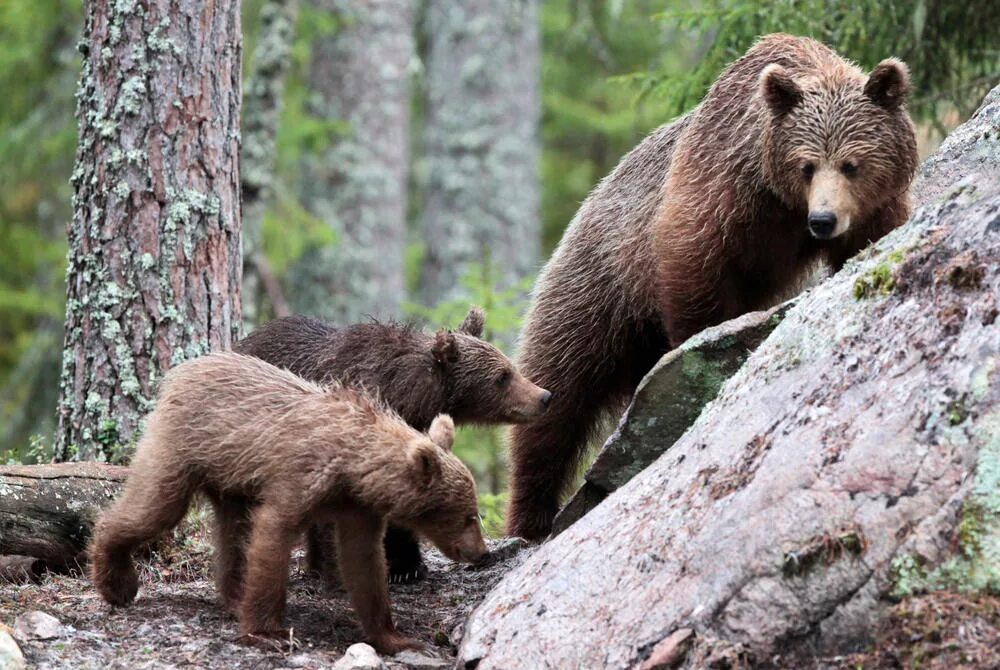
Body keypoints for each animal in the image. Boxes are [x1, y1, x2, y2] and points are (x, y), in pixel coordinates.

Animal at [512, 34, 916, 544]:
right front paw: (700, 350)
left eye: (852, 164)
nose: (823, 221)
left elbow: (872, 235)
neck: (780, 200)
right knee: (556, 394)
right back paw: (531, 515)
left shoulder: (866, 210)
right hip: (593, 291)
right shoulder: (719, 187)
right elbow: (694, 267)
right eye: (806, 166)